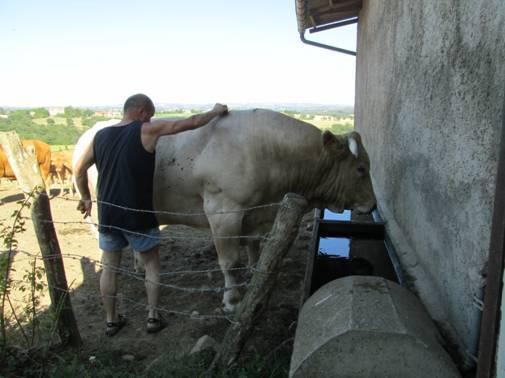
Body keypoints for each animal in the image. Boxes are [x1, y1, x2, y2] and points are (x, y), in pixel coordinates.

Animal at [75, 108, 374, 310]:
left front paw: (255, 274)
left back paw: (138, 266)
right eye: (361, 169)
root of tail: (90, 134)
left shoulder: (255, 213)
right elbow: (230, 261)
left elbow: (254, 245)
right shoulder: (224, 213)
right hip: (103, 209)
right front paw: (232, 299)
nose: (372, 204)